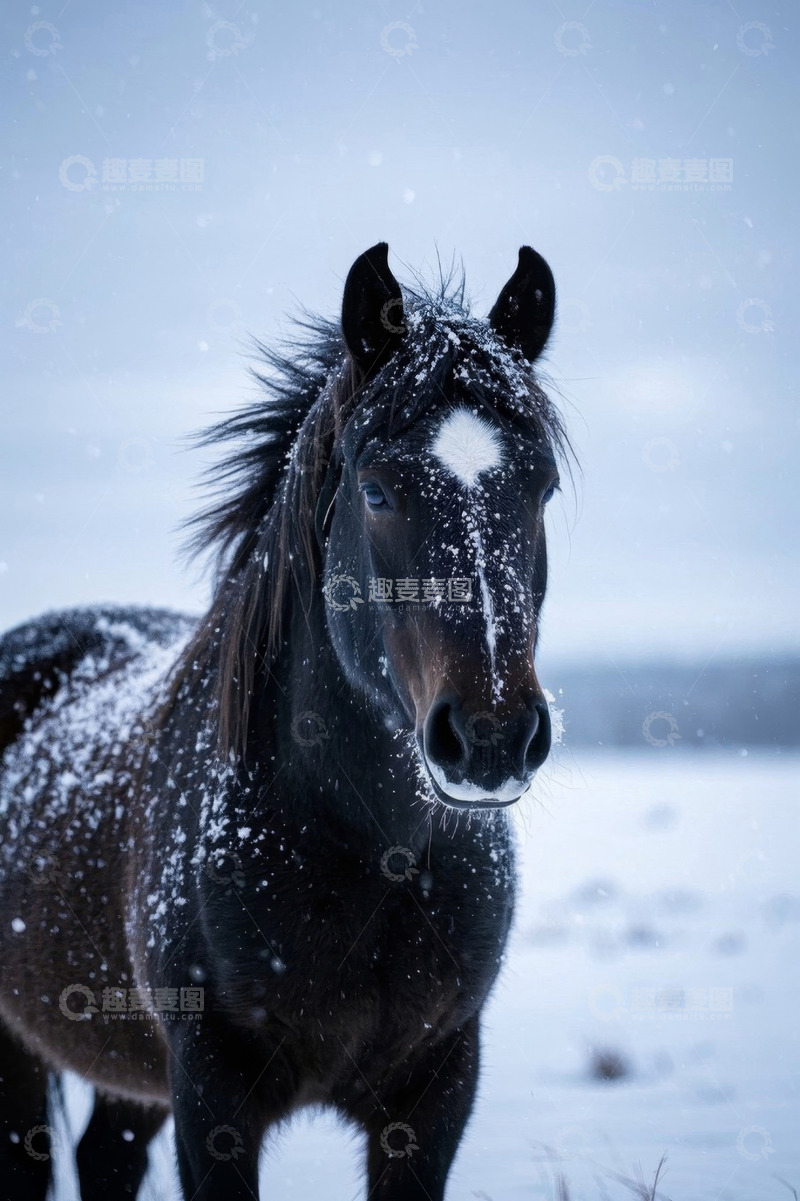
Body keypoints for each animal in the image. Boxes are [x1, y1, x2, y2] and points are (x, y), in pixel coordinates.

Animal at [0, 242, 570, 1200]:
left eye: (543, 488)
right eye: (376, 490)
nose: (493, 739)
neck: (375, 850)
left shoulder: (437, 1088)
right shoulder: (213, 1093)